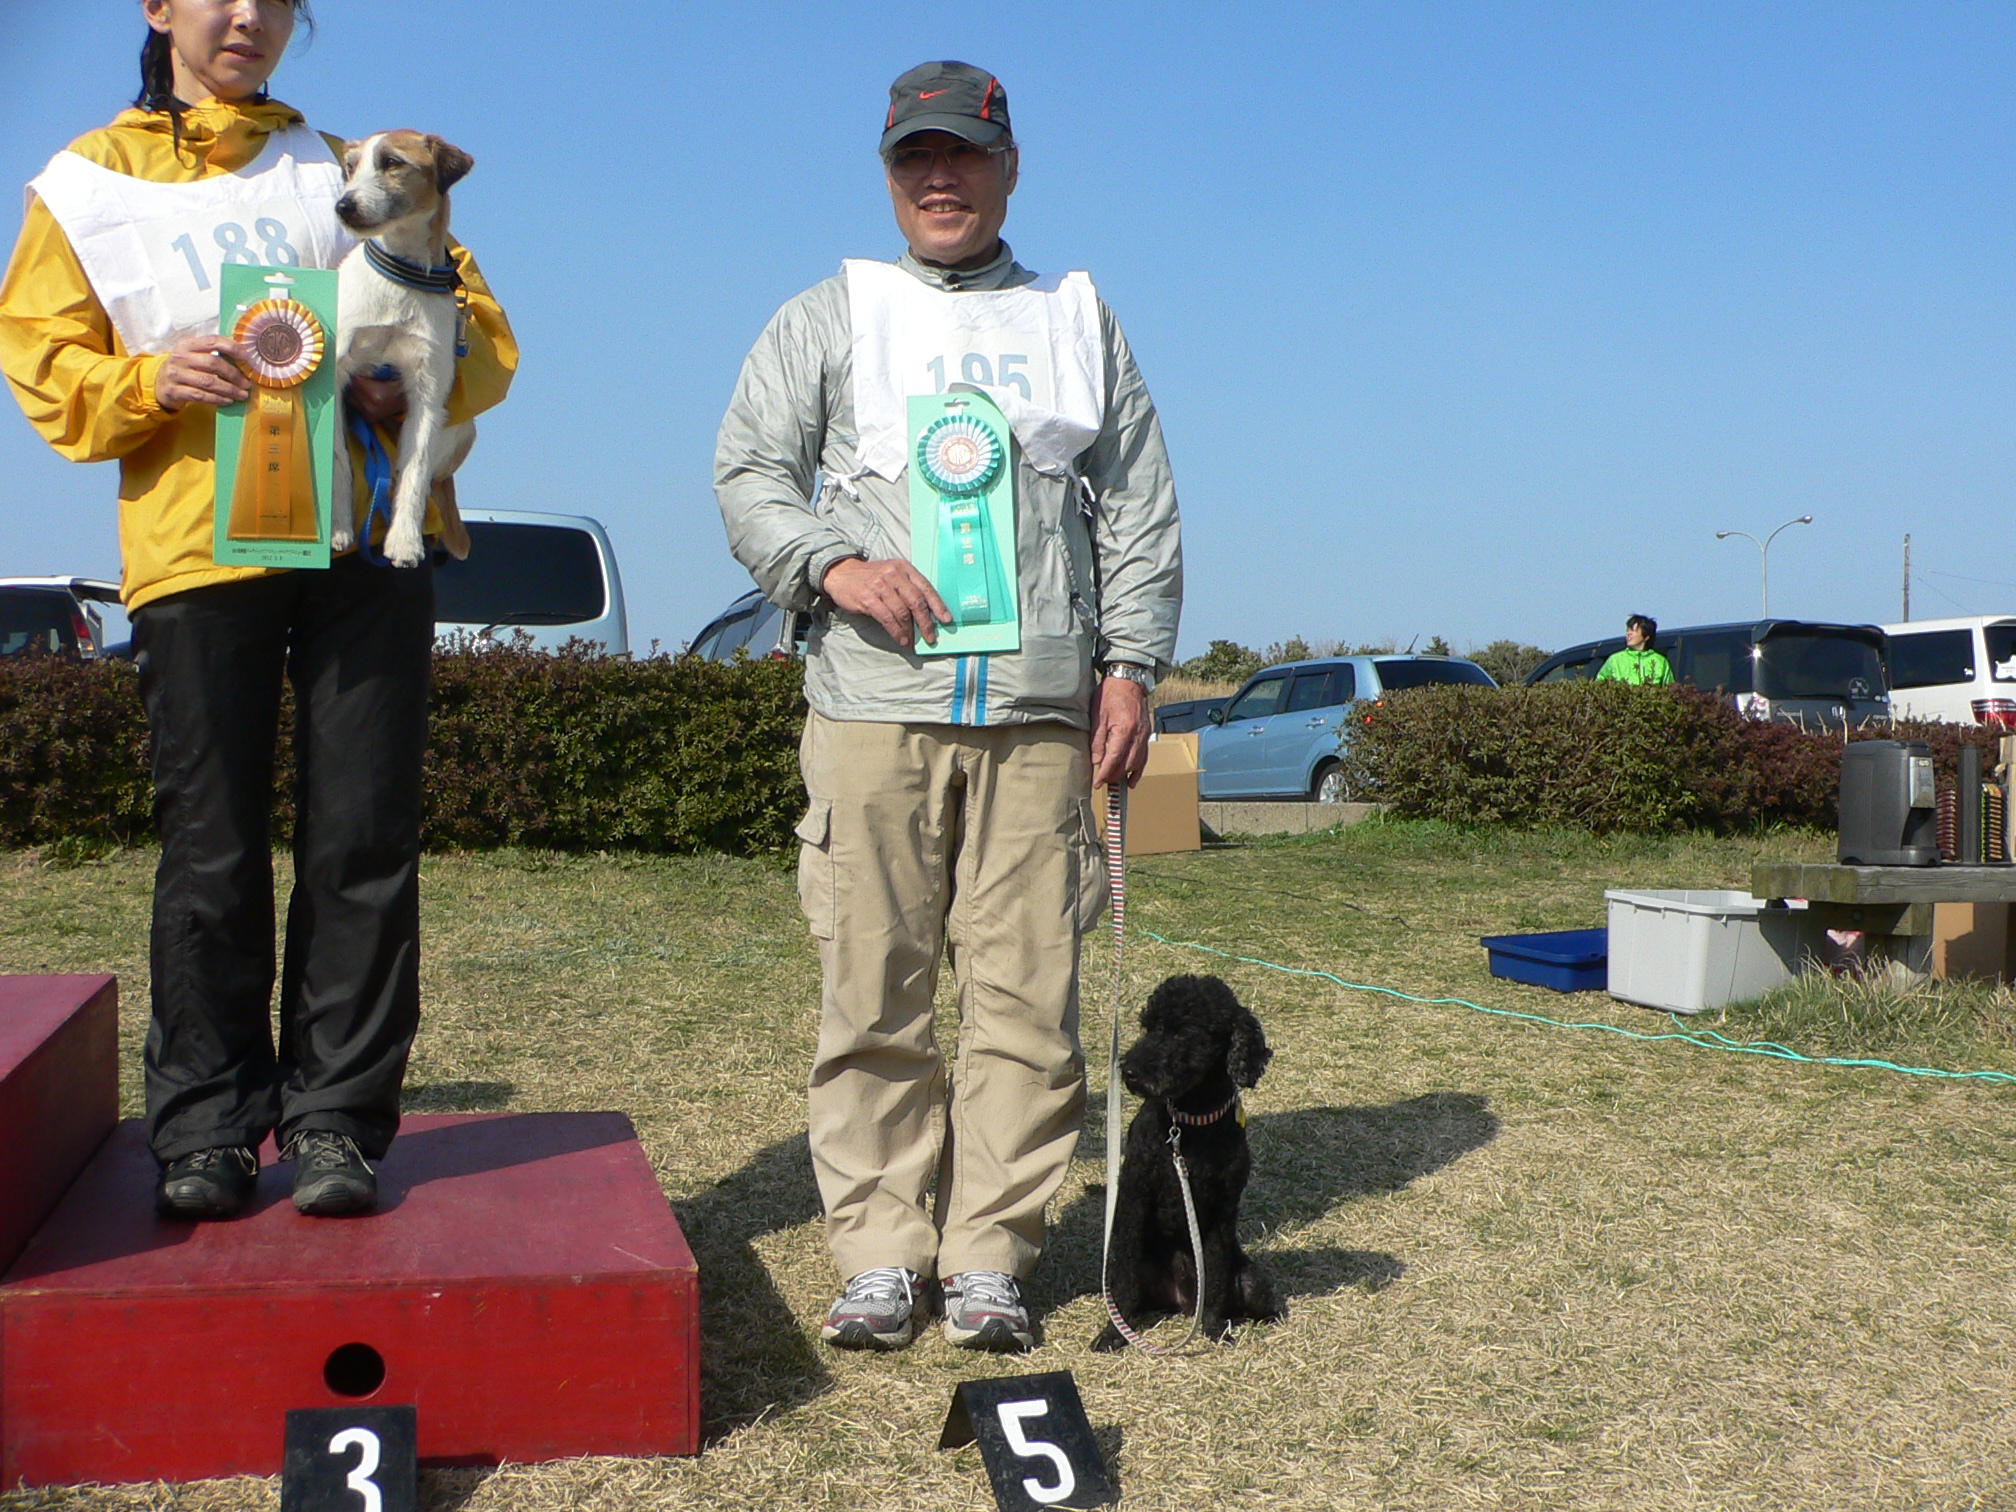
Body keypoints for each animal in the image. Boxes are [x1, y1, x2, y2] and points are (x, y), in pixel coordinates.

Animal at [329, 130, 476, 567]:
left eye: (393, 162)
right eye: (350, 167)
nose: (343, 206)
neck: (401, 278)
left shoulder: (427, 392)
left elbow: (415, 470)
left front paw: (405, 541)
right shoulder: (335, 377)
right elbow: (338, 459)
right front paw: (339, 528)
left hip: (458, 420)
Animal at [1093, 974, 1285, 1350]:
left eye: (1183, 1033)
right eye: (1149, 1027)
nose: (1130, 1072)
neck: (1190, 1122)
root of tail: (1180, 1299)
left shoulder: (1220, 1212)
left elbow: (1215, 1276)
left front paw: (1212, 1327)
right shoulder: (1134, 1197)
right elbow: (1121, 1277)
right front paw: (1113, 1331)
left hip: (1252, 1281)